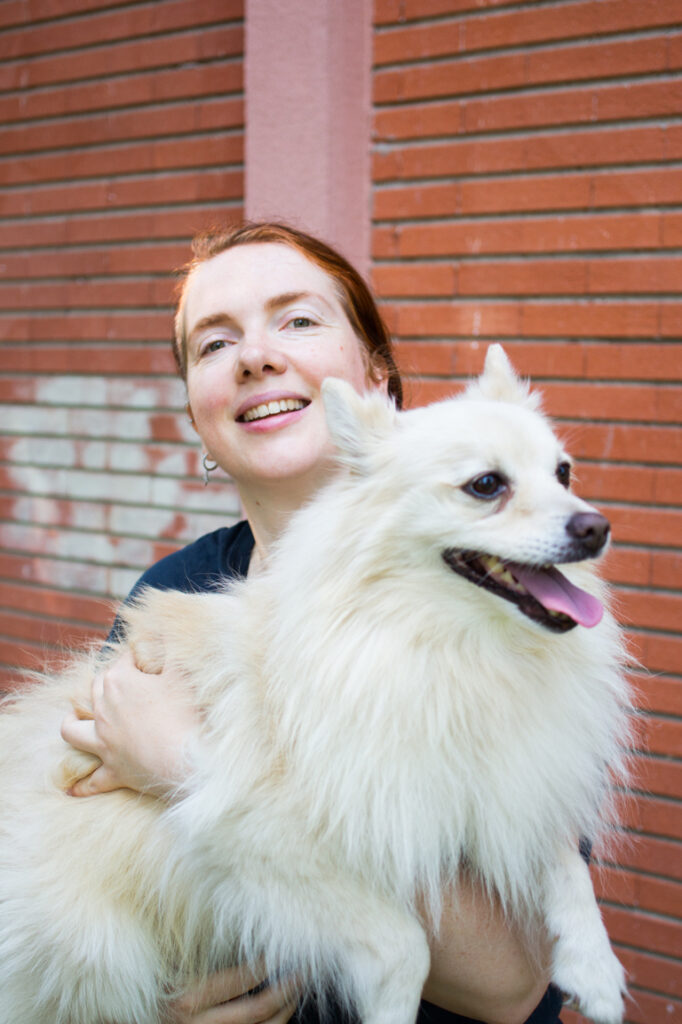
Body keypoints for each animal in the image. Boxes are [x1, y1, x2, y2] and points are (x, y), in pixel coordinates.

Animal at [0, 348, 626, 1019]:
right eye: (486, 486)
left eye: (564, 473)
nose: (597, 527)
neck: (448, 643)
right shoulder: (256, 838)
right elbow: (405, 946)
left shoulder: (504, 784)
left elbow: (562, 857)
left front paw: (592, 966)